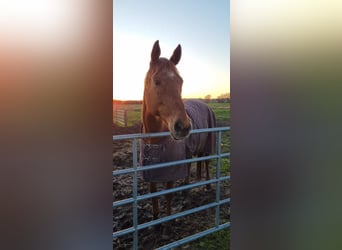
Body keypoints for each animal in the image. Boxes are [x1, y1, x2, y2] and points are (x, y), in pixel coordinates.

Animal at [140, 40, 216, 224]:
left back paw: (207, 185)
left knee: (206, 162)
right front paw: (156, 223)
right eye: (157, 81)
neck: (155, 141)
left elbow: (168, 195)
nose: (184, 126)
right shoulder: (150, 171)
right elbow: (153, 195)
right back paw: (187, 189)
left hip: (207, 144)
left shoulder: (171, 169)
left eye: (181, 82)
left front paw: (167, 223)